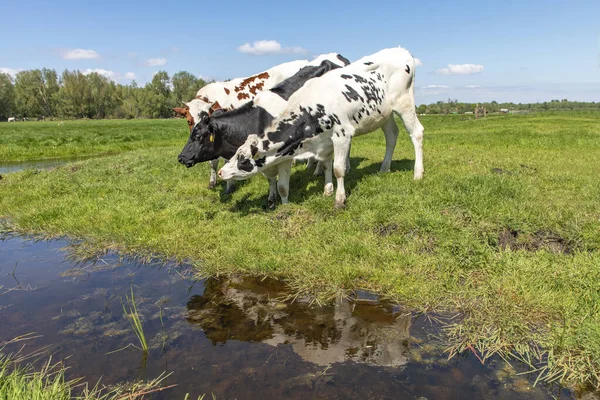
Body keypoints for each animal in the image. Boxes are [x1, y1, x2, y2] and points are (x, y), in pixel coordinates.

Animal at [218, 46, 424, 208]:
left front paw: (339, 199)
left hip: (404, 103)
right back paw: (384, 168)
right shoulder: (325, 142)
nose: (221, 172)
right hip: (383, 114)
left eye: (243, 159)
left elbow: (338, 168)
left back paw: (418, 173)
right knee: (392, 135)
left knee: (417, 133)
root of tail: (401, 50)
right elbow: (326, 165)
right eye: (236, 154)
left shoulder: (342, 135)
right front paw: (327, 190)